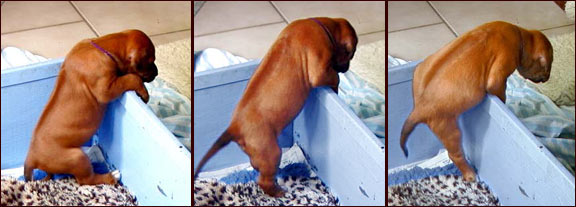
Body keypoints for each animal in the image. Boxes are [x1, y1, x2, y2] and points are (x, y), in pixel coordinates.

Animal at [25, 29, 158, 184]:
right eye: (151, 61)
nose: (157, 73)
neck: (103, 47)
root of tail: (32, 157)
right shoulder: (106, 89)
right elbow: (132, 78)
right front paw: (144, 93)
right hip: (77, 158)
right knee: (86, 180)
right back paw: (111, 176)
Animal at [194, 17, 356, 196]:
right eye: (351, 54)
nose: (347, 69)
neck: (321, 25)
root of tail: (234, 127)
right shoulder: (319, 70)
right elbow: (333, 76)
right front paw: (336, 85)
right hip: (271, 152)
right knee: (263, 181)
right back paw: (279, 193)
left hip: (259, 154)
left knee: (256, 166)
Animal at [400, 21, 552, 182]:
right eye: (547, 67)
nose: (547, 78)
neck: (520, 35)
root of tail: (418, 109)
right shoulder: (499, 73)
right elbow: (500, 92)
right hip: (449, 130)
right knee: (455, 155)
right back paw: (470, 174)